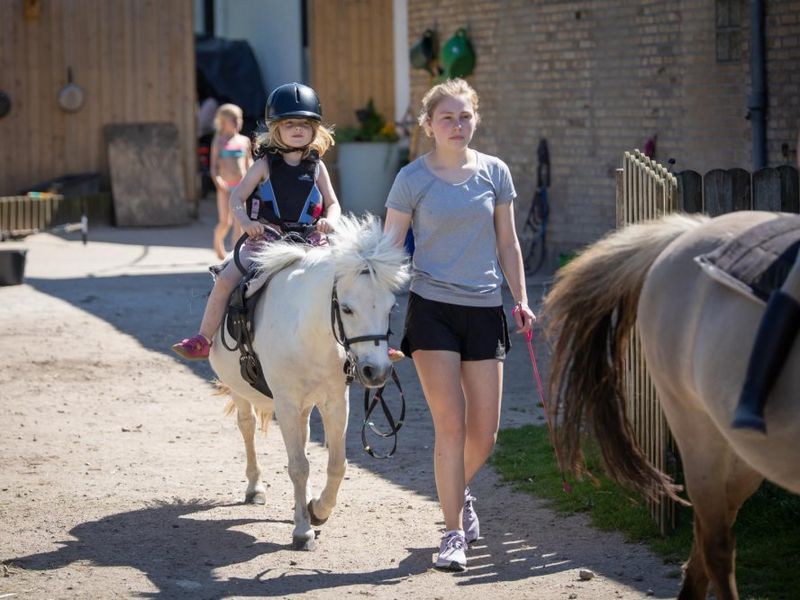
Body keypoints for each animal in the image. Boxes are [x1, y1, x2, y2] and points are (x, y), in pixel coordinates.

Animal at [209, 214, 410, 548]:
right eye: (347, 308)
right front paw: (302, 531)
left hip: (305, 406)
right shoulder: (286, 404)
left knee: (302, 440)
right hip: (241, 391)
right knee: (248, 427)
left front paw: (317, 510)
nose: (377, 371)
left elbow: (336, 464)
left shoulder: (335, 402)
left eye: (391, 307)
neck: (310, 331)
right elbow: (298, 466)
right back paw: (255, 488)